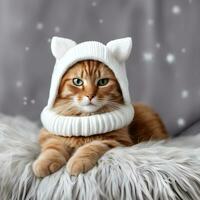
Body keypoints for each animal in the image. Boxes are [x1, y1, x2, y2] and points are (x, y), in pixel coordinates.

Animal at [32, 59, 167, 177]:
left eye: (103, 82)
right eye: (77, 82)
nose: (90, 96)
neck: (86, 120)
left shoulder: (117, 140)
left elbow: (91, 147)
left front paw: (78, 162)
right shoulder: (51, 135)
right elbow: (53, 148)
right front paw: (44, 164)